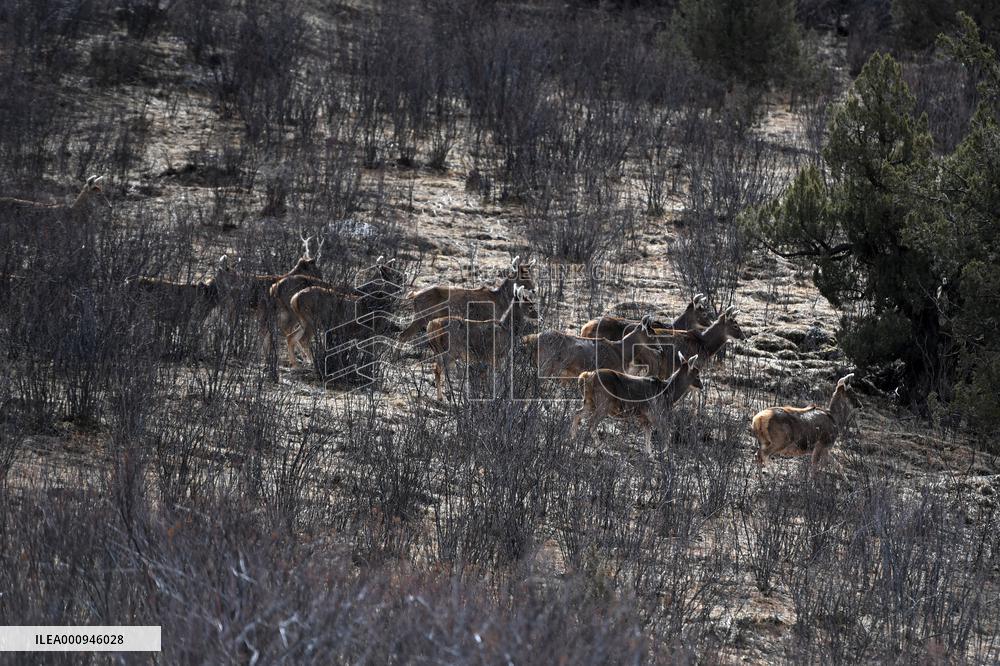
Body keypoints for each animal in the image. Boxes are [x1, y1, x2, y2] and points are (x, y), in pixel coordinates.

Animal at [398, 255, 536, 342]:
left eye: (530, 273)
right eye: (522, 275)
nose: (534, 289)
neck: (500, 302)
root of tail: (414, 295)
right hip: (422, 315)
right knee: (403, 335)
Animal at [571, 352, 703, 456]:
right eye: (697, 374)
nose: (702, 386)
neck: (668, 394)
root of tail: (587, 376)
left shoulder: (644, 416)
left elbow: (648, 434)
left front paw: (649, 453)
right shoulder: (655, 412)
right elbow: (666, 432)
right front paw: (663, 452)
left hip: (590, 402)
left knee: (577, 414)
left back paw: (572, 441)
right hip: (604, 402)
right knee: (591, 423)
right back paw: (600, 448)